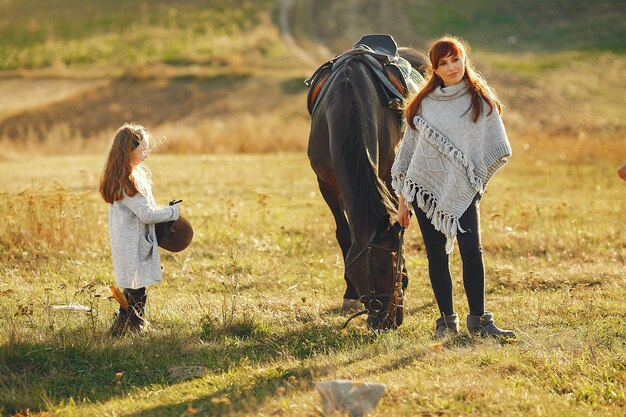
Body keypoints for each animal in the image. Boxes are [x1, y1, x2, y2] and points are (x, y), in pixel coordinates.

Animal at [308, 41, 428, 328]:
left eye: (395, 263)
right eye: (381, 267)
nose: (390, 320)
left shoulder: (389, 177)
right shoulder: (326, 184)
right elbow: (343, 234)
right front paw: (350, 294)